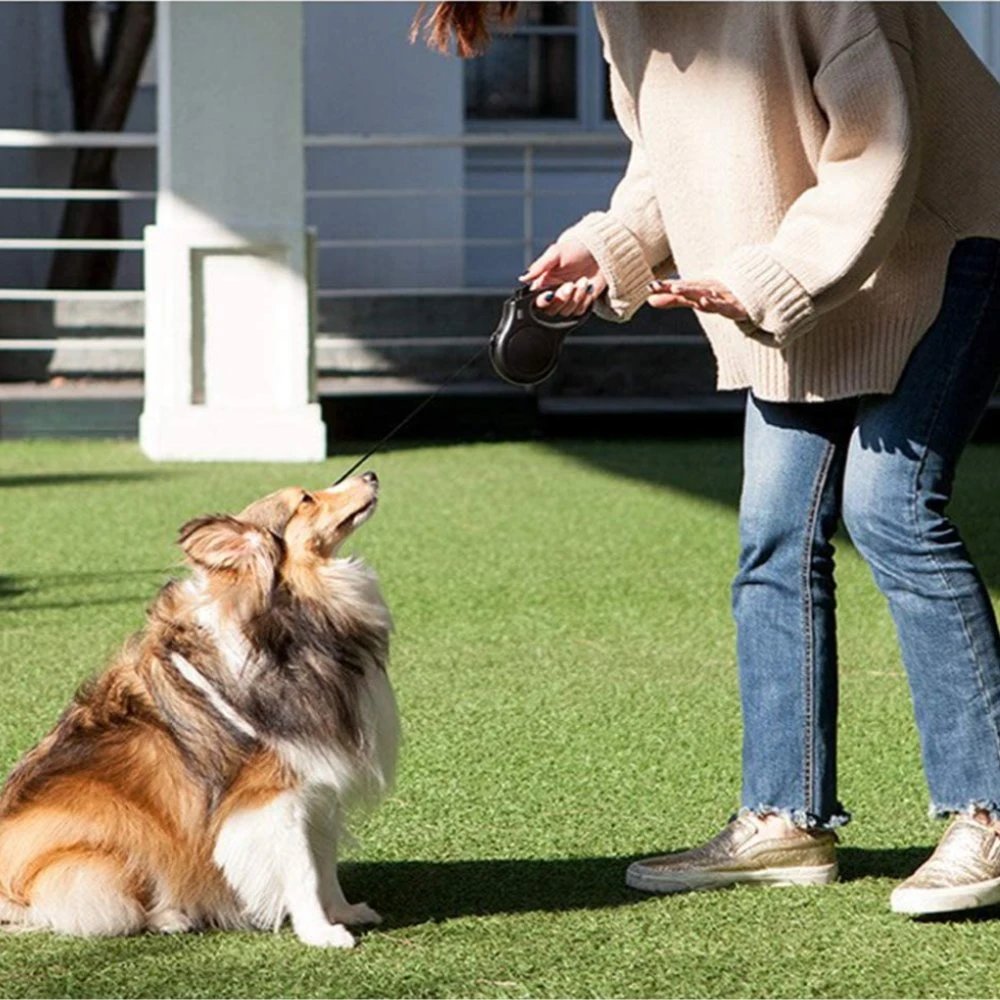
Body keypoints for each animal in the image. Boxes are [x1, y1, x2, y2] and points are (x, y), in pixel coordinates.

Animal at [0, 472, 398, 948]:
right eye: (305, 499)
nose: (371, 475)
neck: (287, 619)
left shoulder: (316, 782)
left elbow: (324, 859)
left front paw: (344, 912)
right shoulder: (272, 797)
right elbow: (302, 869)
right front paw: (321, 933)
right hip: (106, 855)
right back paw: (169, 917)